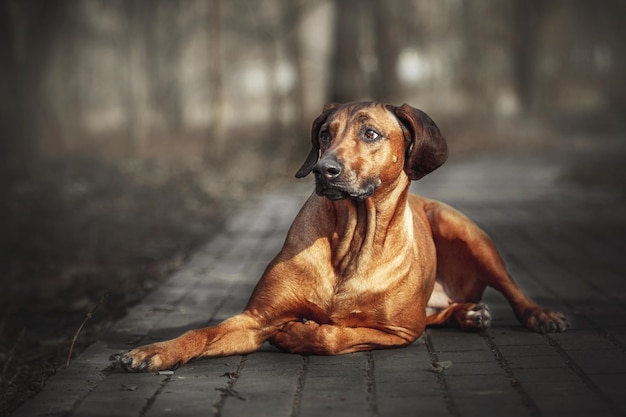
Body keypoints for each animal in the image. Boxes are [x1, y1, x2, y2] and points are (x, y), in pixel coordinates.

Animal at [119, 102, 568, 372]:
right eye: (324, 134)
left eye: (370, 134)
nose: (324, 170)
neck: (352, 241)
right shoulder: (255, 319)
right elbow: (203, 332)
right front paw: (155, 350)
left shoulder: (399, 332)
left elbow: (337, 333)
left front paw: (302, 334)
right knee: (446, 311)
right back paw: (469, 313)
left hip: (461, 228)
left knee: (511, 289)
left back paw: (540, 315)